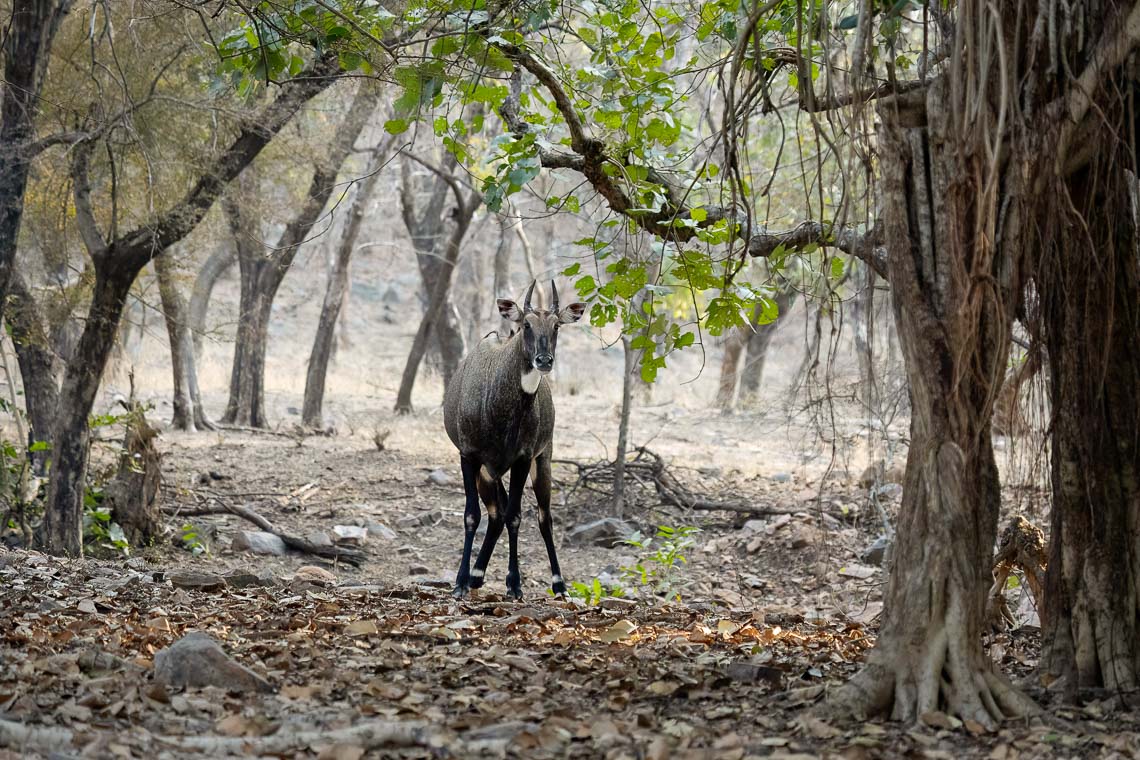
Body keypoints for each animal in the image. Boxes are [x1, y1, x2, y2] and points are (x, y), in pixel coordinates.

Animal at [442, 279, 583, 601]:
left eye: (556, 325)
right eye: (526, 324)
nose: (544, 360)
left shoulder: (522, 458)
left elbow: (515, 516)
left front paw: (514, 583)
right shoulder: (469, 456)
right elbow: (472, 515)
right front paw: (460, 582)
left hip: (542, 461)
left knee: (542, 517)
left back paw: (559, 584)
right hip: (488, 472)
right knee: (495, 513)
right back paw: (475, 576)